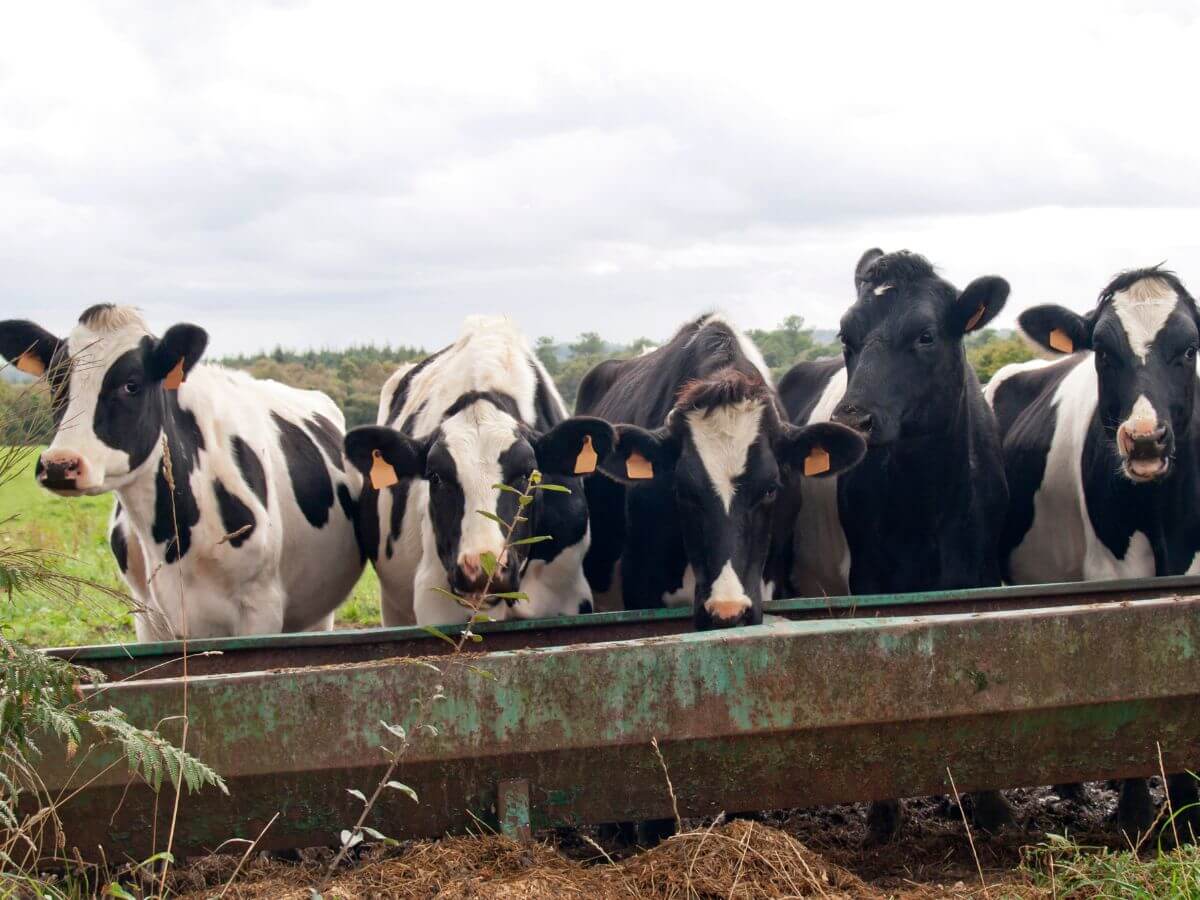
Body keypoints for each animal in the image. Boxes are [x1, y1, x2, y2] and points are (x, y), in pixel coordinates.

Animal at [1, 304, 364, 643]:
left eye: (132, 385)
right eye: (57, 380)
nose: (59, 464)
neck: (171, 537)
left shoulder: (261, 609)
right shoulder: (148, 616)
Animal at [777, 248, 1012, 844]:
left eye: (926, 335)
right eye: (846, 335)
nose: (853, 420)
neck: (923, 500)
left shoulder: (978, 576)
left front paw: (990, 806)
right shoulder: (871, 581)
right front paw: (883, 814)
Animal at [984, 264, 1200, 844]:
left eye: (1189, 347)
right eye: (1103, 350)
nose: (1144, 440)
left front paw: (1188, 812)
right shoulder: (1115, 568)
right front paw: (1136, 813)